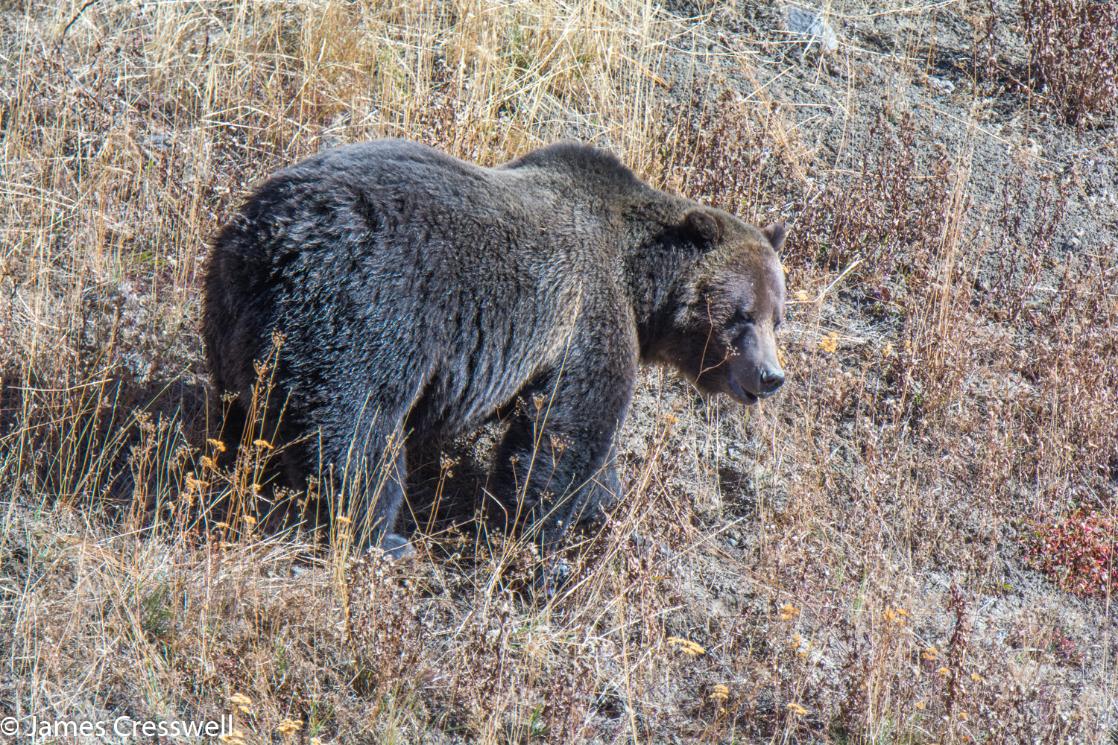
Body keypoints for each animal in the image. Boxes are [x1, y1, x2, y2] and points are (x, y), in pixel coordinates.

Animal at [201, 140, 787, 557]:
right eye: (742, 314)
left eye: (778, 316)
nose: (770, 376)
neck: (641, 283)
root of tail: (276, 236)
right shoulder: (586, 312)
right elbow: (566, 431)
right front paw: (538, 536)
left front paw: (604, 508)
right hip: (368, 308)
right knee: (355, 430)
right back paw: (379, 537)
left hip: (234, 312)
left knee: (243, 412)